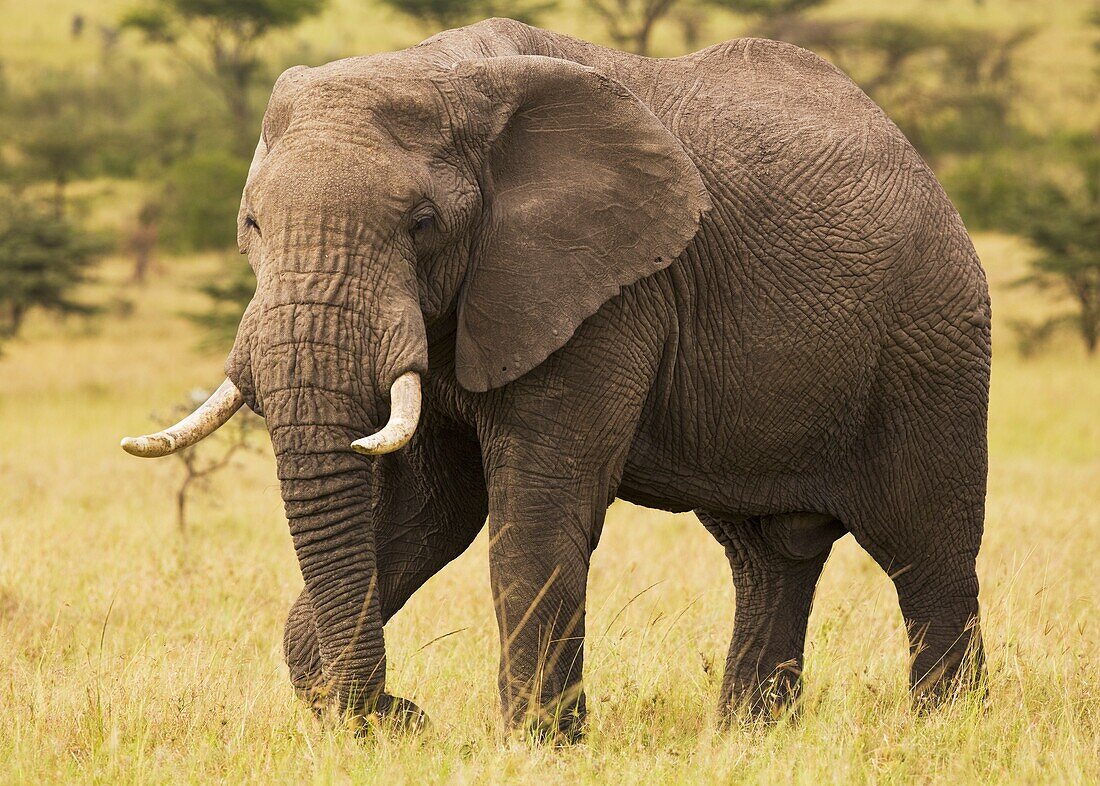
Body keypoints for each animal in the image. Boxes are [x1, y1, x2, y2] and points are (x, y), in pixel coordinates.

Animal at [120, 18, 990, 743]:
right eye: (252, 226)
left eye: (422, 225)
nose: (405, 714)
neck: (442, 70)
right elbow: (427, 512)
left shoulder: (605, 290)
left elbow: (530, 514)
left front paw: (536, 747)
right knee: (769, 556)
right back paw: (750, 736)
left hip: (931, 346)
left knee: (928, 550)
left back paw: (948, 730)